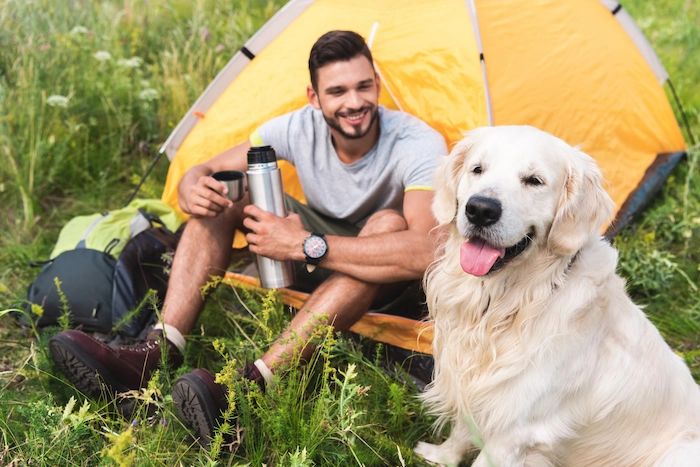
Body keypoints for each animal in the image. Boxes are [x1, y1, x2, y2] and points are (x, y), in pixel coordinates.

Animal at [416, 126, 700, 466]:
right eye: (478, 169)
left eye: (534, 180)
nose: (480, 209)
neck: (511, 303)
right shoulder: (476, 388)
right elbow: (462, 430)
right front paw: (441, 456)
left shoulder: (515, 432)